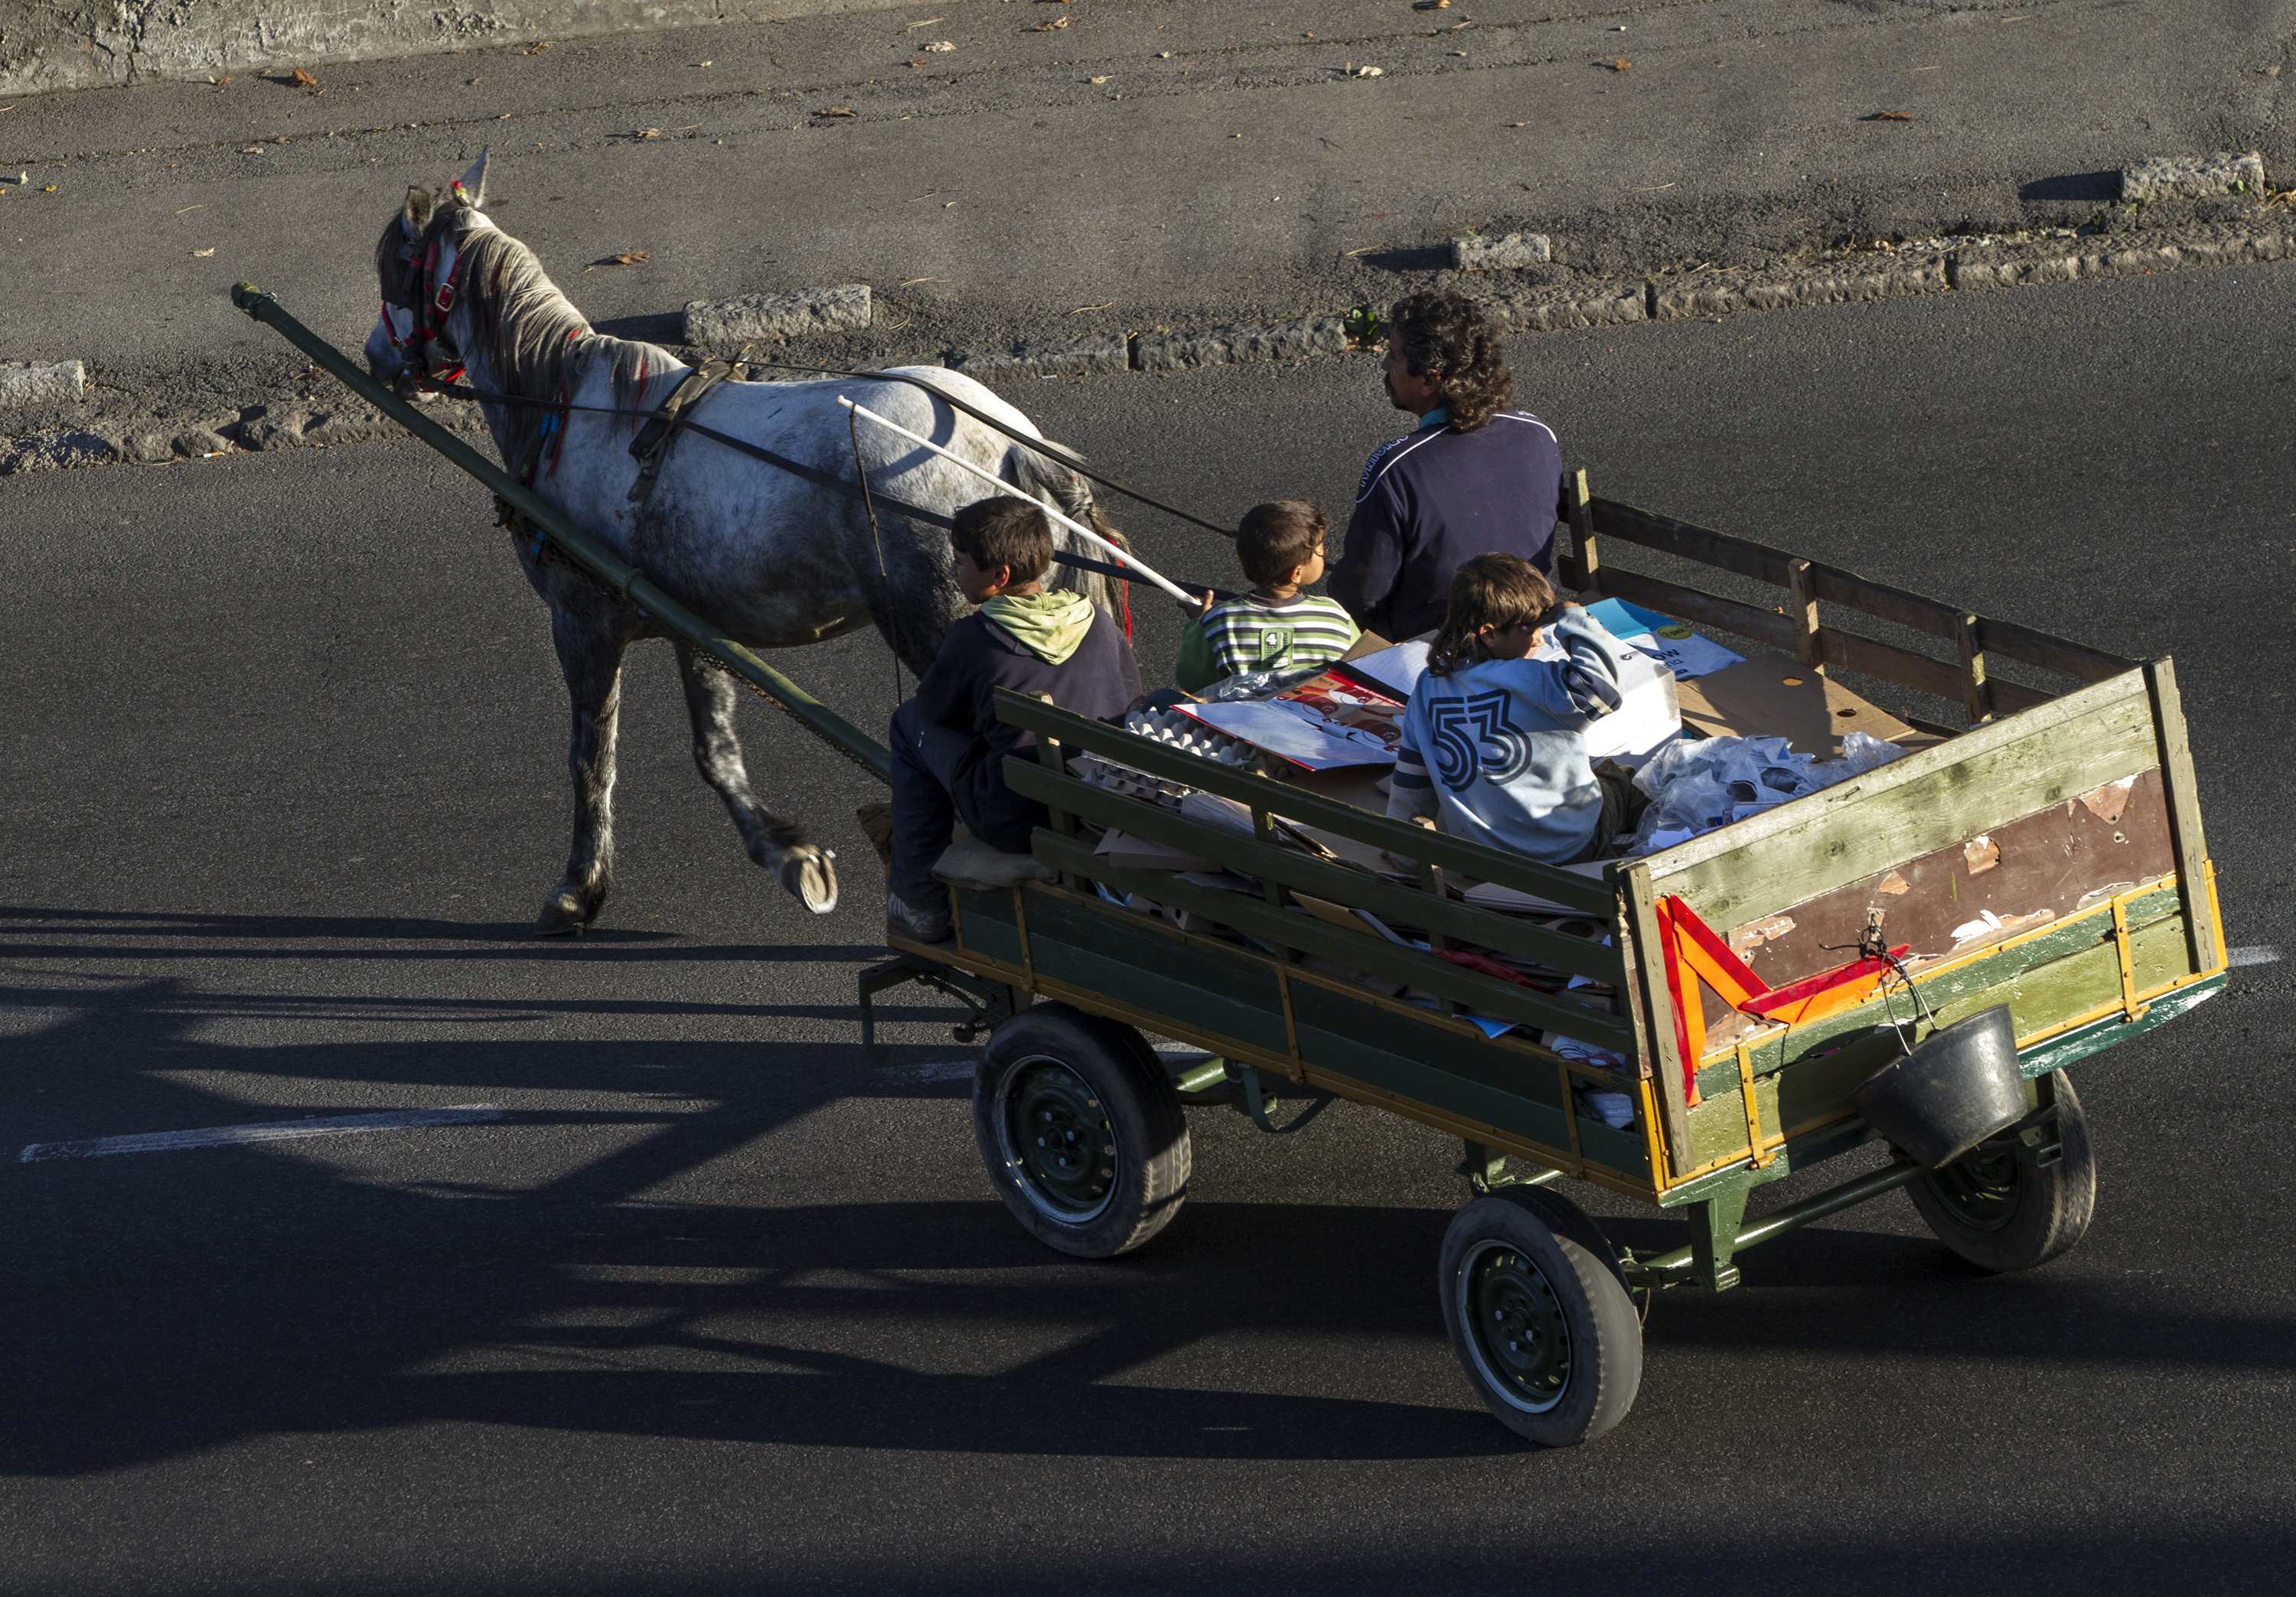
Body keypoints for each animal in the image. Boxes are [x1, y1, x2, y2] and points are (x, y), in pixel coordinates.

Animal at [365, 151, 1120, 936]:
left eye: (389, 263)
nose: (376, 356)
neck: (565, 407)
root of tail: (1011, 445)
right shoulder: (693, 625)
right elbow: (715, 751)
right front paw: (792, 858)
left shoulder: (583, 622)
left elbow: (590, 758)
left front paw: (578, 889)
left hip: (935, 622)